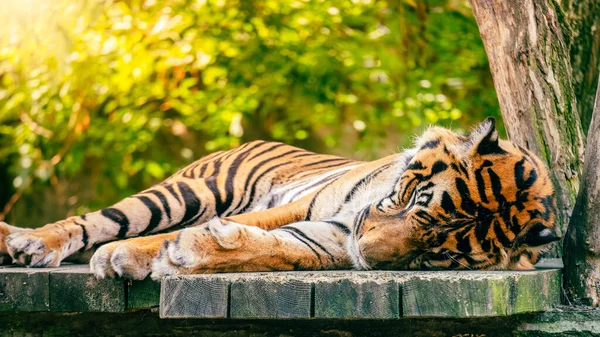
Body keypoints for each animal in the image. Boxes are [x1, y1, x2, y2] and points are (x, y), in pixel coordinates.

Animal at [0, 117, 556, 280]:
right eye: (417, 203)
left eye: (435, 252)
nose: (366, 256)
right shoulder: (310, 208)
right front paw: (127, 256)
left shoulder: (334, 236)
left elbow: (279, 247)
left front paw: (193, 253)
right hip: (188, 190)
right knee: (93, 220)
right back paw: (27, 243)